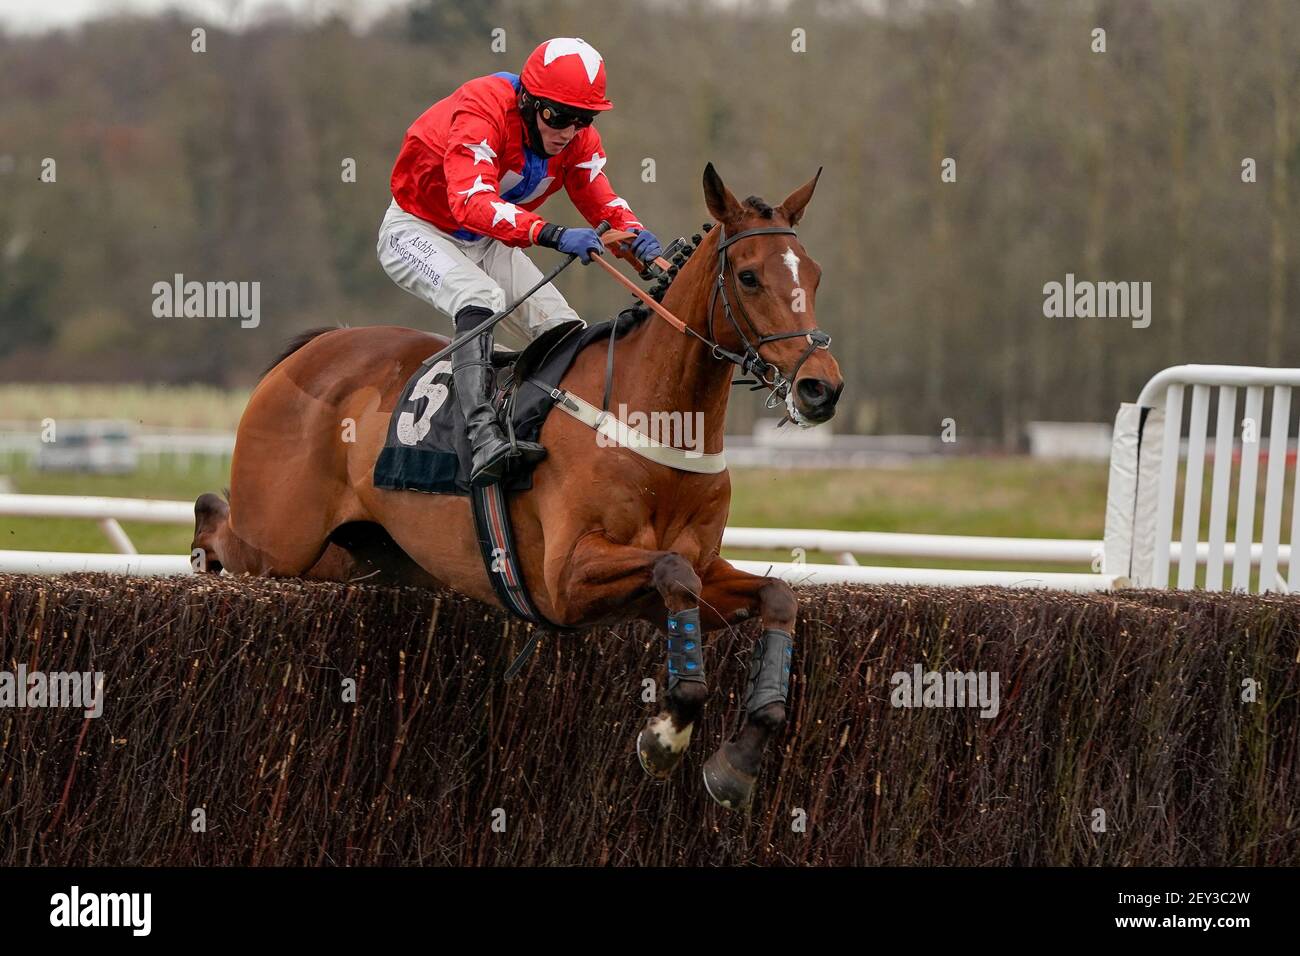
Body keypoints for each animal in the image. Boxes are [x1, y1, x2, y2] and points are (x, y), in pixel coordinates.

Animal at [192, 162, 842, 806]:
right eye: (749, 277)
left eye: (812, 274)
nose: (820, 388)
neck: (656, 421)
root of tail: (313, 349)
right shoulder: (566, 578)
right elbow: (672, 572)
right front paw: (666, 735)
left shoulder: (687, 583)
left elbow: (774, 594)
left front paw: (740, 759)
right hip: (278, 540)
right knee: (213, 515)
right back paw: (199, 559)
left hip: (363, 556)